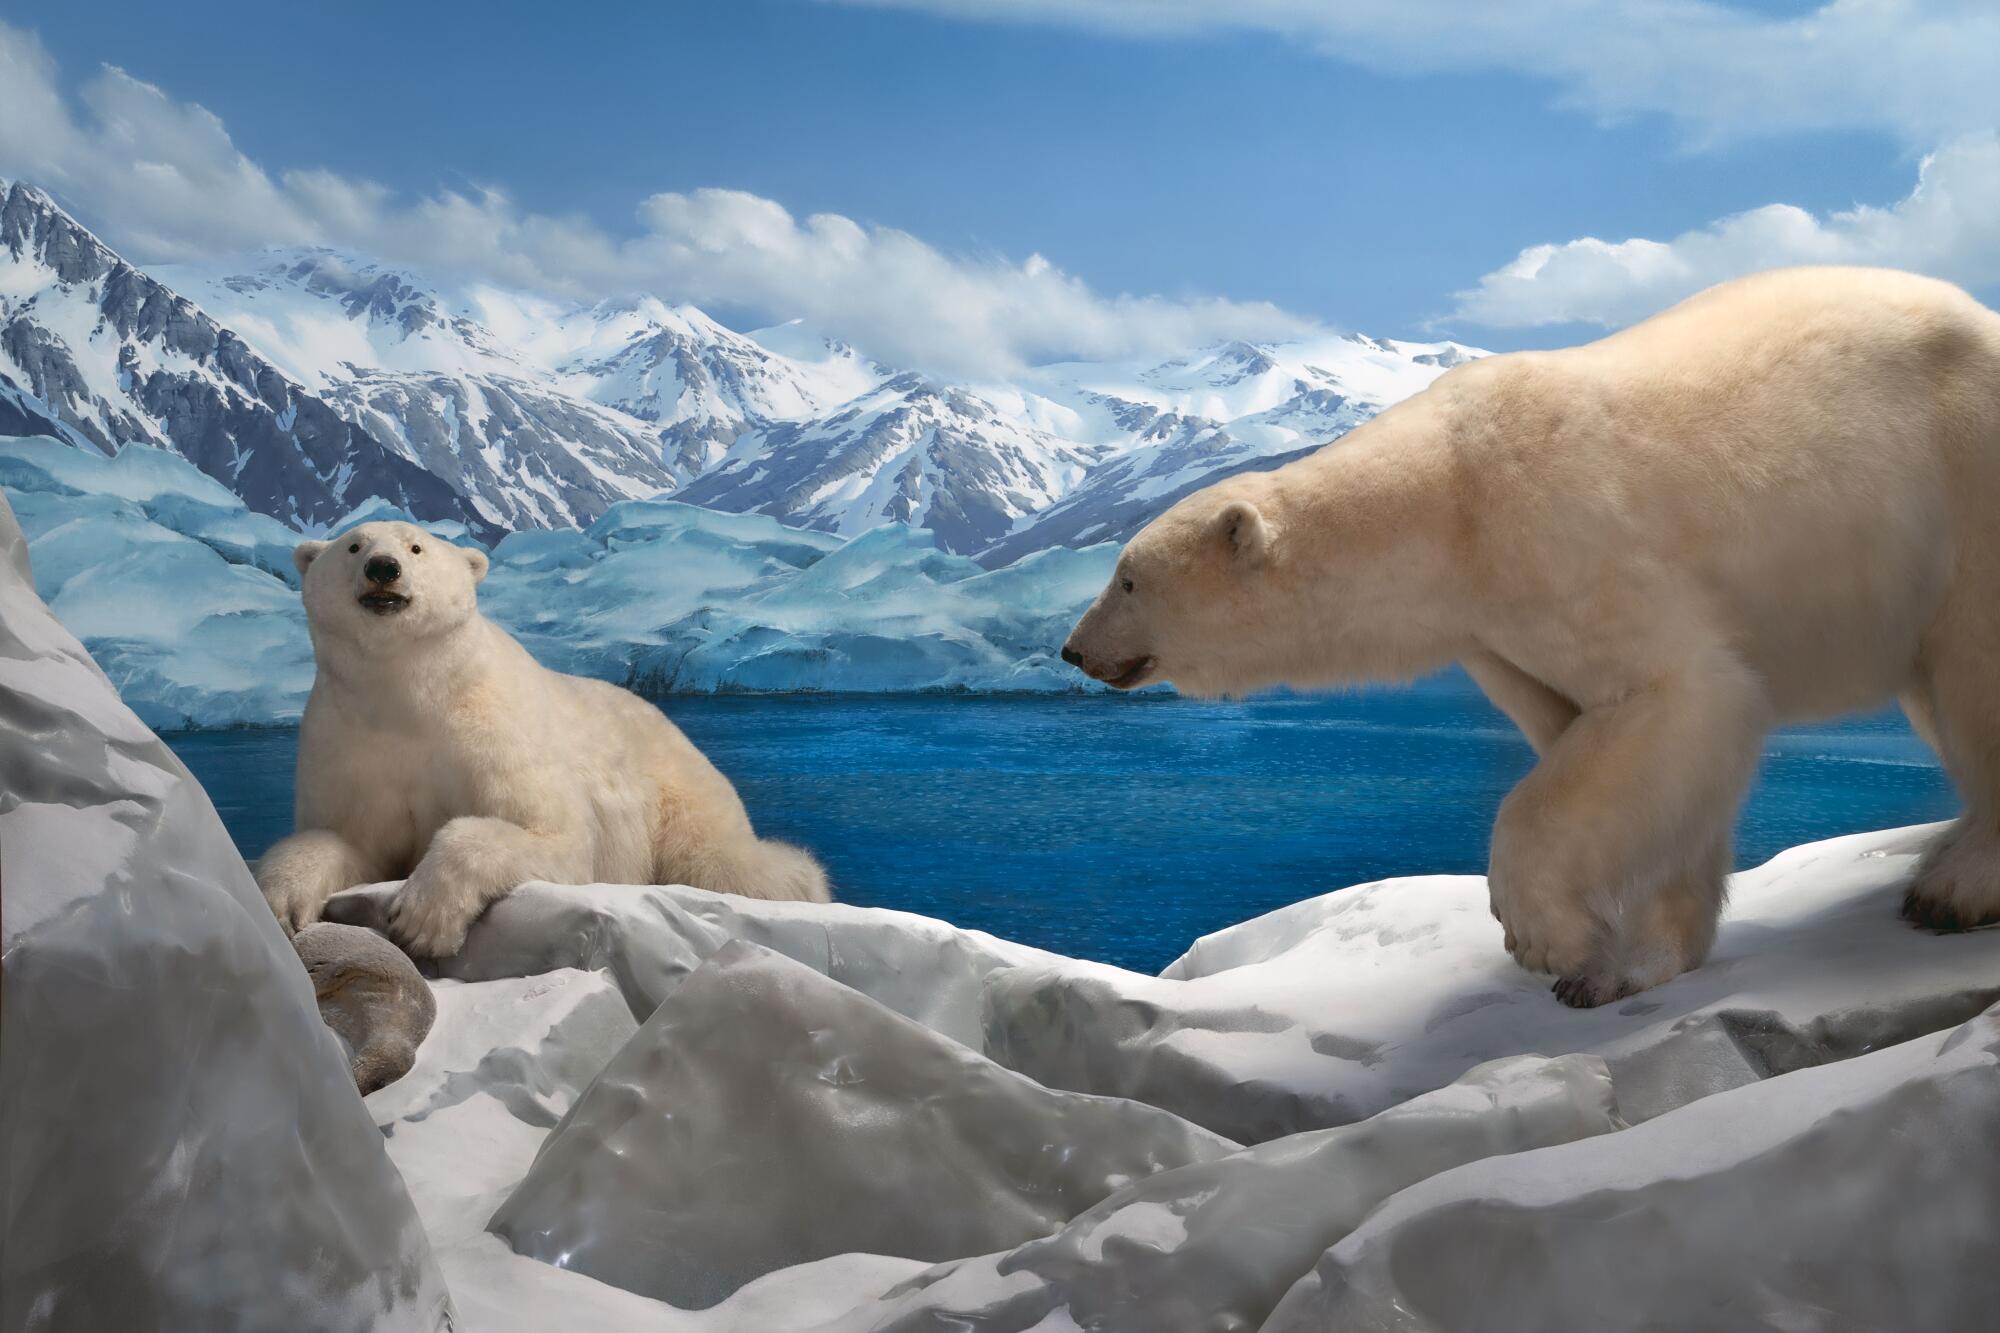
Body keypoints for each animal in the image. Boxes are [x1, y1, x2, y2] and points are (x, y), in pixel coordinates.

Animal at [258, 520, 828, 956]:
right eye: (354, 545)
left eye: (416, 547)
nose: (383, 569)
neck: (408, 697)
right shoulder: (352, 743)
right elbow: (345, 838)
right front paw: (280, 905)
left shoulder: (493, 732)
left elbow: (550, 833)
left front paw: (422, 919)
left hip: (680, 797)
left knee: (726, 863)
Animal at [1072, 264, 2000, 1000]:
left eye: (1127, 577)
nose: (1074, 648)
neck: (1450, 503)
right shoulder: (1498, 631)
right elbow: (1619, 766)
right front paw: (1631, 964)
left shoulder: (1566, 541)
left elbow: (1670, 702)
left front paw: (1548, 942)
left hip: (1963, 484)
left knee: (1975, 674)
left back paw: (1955, 886)